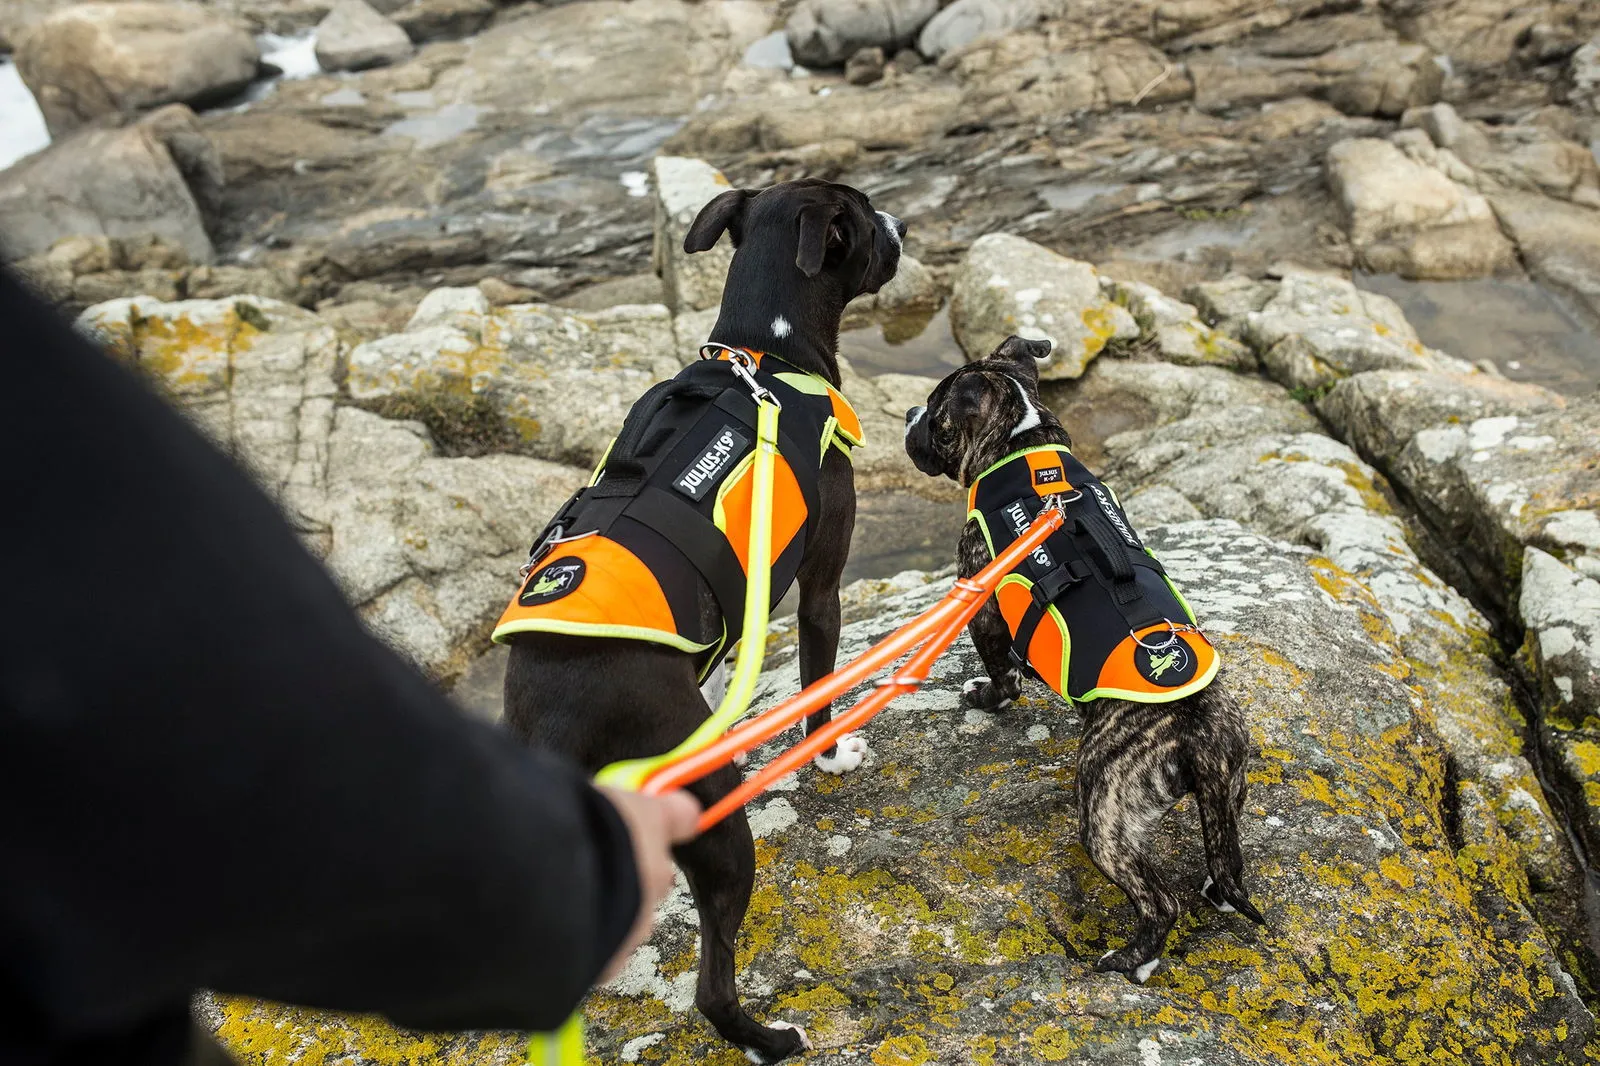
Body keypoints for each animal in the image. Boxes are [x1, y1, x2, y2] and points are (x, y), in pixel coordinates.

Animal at [502, 178, 902, 1056]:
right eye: (864, 213)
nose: (901, 222)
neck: (767, 353)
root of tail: (557, 723)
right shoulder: (822, 588)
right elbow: (818, 689)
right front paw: (831, 756)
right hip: (712, 818)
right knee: (712, 985)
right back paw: (770, 1039)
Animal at [902, 336, 1260, 985]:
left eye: (935, 415)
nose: (909, 415)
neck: (1021, 444)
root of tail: (1196, 726)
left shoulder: (982, 599)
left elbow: (1000, 669)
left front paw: (989, 697)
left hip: (1104, 810)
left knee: (1157, 900)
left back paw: (1133, 959)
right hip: (1230, 782)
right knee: (1225, 856)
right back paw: (1212, 889)